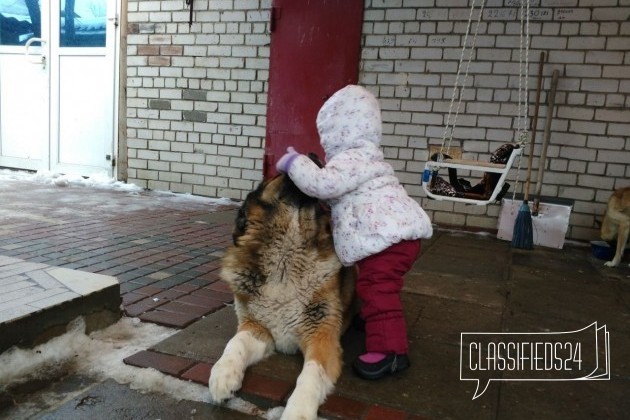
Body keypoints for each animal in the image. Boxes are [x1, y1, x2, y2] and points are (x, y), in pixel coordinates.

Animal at [211, 160, 356, 416]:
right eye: (278, 173)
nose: (313, 155)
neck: (284, 264)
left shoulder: (321, 335)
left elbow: (311, 375)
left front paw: (298, 411)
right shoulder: (256, 327)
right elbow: (235, 343)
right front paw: (223, 375)